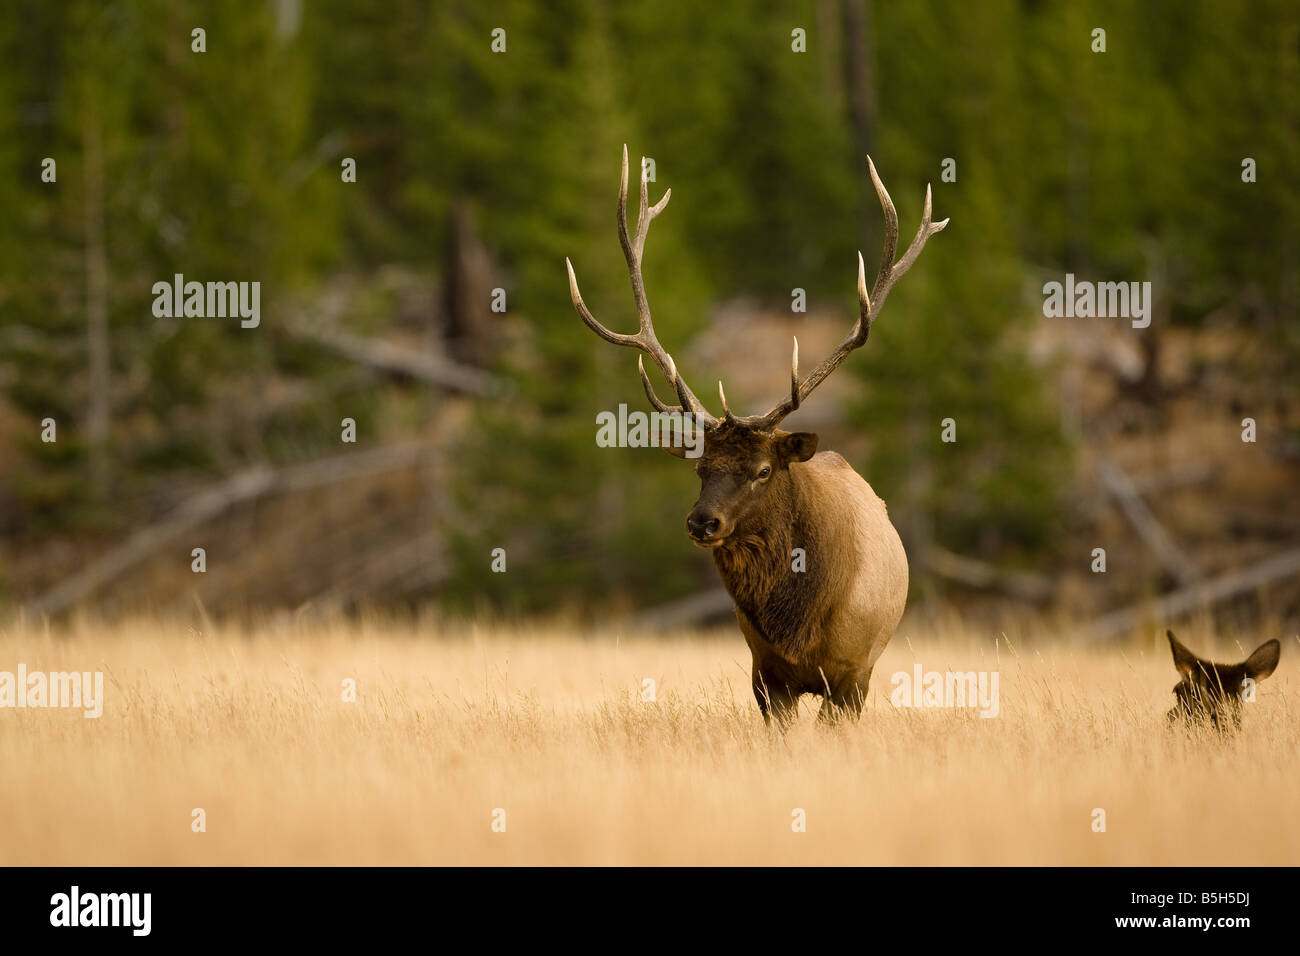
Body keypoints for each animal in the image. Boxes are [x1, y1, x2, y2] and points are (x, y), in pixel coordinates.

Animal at [566, 145, 946, 723]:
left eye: (763, 470)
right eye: (701, 469)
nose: (702, 522)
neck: (799, 623)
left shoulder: (851, 674)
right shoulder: (765, 675)